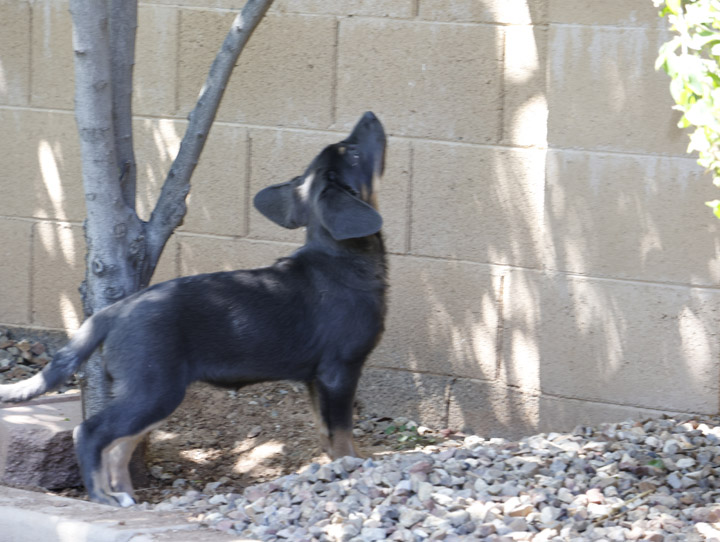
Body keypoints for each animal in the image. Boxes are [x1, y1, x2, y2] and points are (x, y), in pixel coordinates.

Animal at [0, 112, 388, 508]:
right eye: (355, 155)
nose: (370, 116)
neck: (341, 255)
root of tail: (115, 310)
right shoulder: (340, 370)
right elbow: (341, 432)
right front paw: (352, 467)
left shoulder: (314, 378)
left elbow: (326, 432)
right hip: (154, 388)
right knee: (92, 433)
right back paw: (102, 496)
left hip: (150, 391)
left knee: (119, 447)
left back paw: (127, 498)